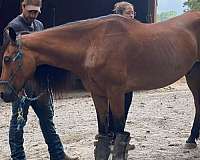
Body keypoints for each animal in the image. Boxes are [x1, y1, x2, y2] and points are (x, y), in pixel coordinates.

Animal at [0, 11, 200, 159]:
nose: (4, 93)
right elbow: (104, 134)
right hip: (193, 76)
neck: (93, 43)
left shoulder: (117, 93)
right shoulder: (98, 94)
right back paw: (191, 139)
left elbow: (119, 134)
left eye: (7, 59)